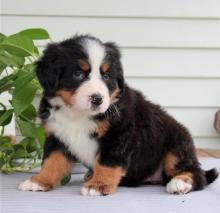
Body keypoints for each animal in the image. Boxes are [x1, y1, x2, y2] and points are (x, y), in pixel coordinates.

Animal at [18, 35, 218, 196]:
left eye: (107, 76)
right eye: (78, 74)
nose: (97, 99)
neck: (77, 114)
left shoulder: (118, 135)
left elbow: (107, 162)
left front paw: (98, 185)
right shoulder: (57, 136)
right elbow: (52, 161)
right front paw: (39, 181)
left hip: (176, 145)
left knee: (196, 174)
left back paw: (180, 183)